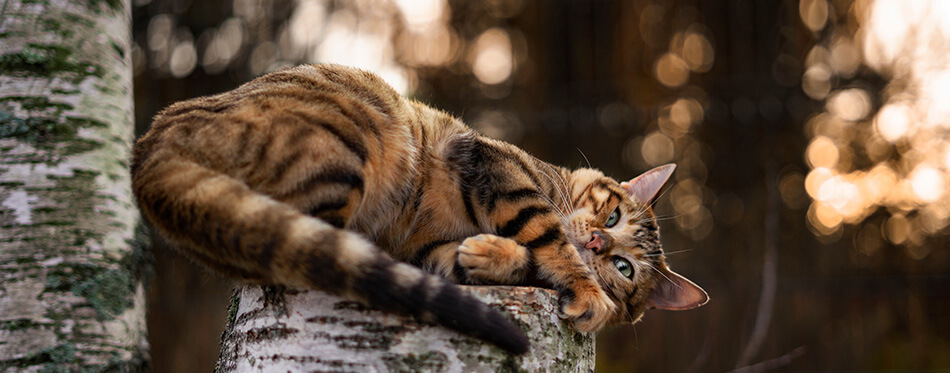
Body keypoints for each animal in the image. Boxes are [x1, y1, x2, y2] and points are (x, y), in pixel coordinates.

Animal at [132, 64, 708, 354]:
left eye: (625, 267)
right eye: (613, 218)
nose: (596, 242)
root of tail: (152, 141)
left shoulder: (431, 250)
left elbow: (495, 255)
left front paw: (489, 256)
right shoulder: (499, 167)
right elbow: (547, 233)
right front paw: (587, 292)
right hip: (350, 140)